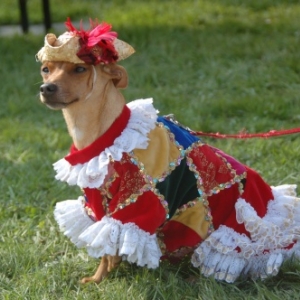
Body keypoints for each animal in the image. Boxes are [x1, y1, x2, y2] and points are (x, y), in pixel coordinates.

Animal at [39, 61, 126, 284]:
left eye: (80, 69)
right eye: (45, 69)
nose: (46, 88)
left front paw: (101, 276)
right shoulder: (97, 203)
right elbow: (106, 247)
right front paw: (101, 275)